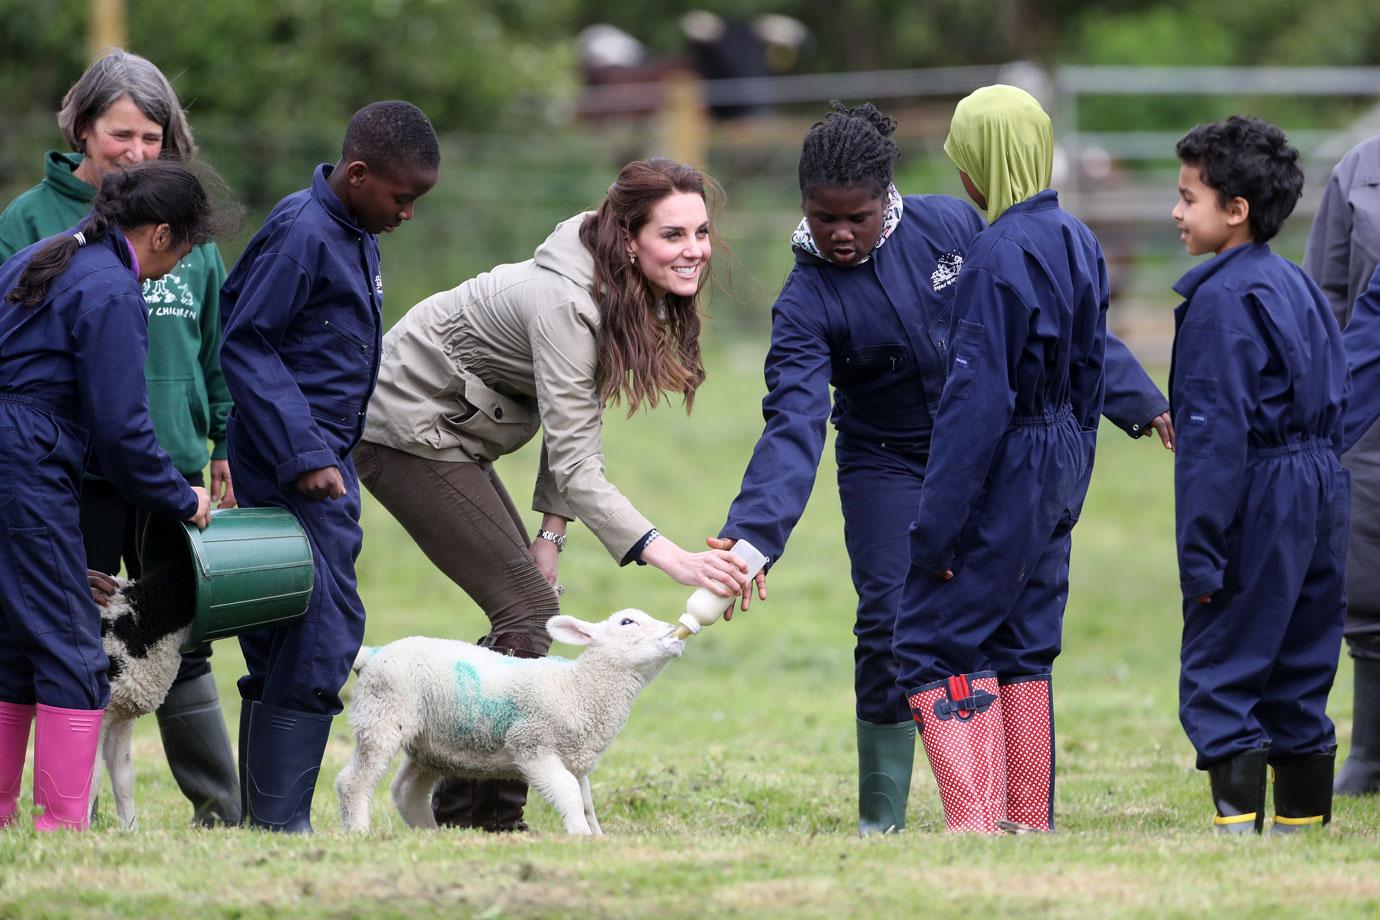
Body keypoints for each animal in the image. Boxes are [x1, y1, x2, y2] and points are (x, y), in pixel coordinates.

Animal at [333, 606, 678, 838]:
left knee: (406, 790)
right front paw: (580, 835)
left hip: (431, 743)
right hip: (382, 714)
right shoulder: (531, 746)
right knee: (353, 781)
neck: (578, 689)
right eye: (627, 622)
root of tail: (373, 654)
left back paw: (430, 833)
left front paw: (596, 836)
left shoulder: (574, 758)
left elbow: (585, 801)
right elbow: (569, 792)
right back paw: (359, 830)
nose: (674, 632)